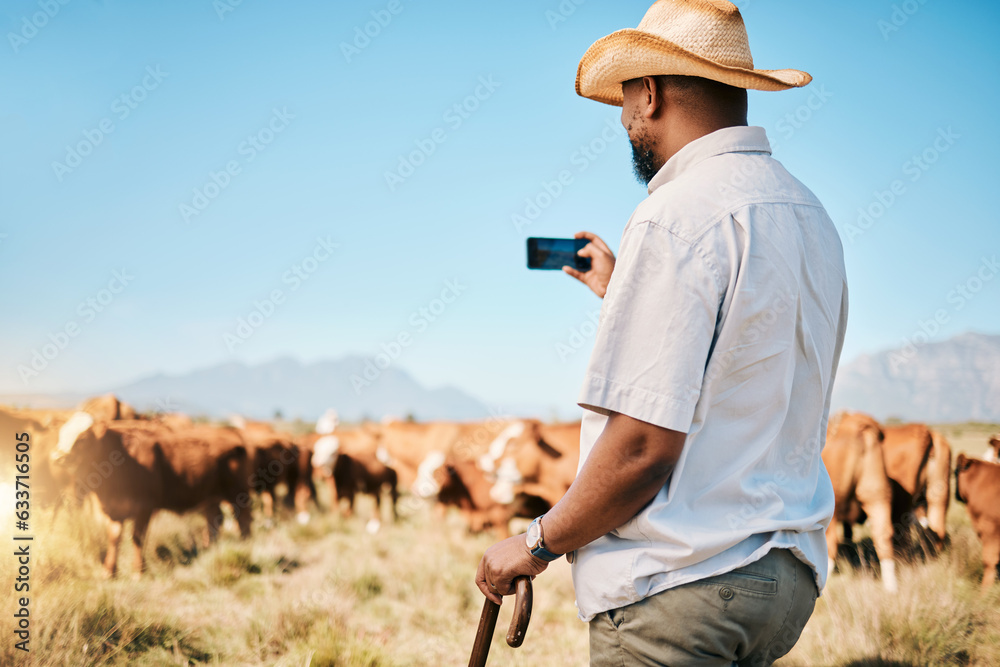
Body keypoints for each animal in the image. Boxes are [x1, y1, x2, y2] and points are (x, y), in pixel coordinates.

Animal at [50, 412, 254, 580]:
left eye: (82, 438)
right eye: (61, 434)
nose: (57, 457)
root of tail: (230, 433)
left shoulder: (144, 508)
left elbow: (137, 538)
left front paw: (138, 571)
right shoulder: (114, 509)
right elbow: (114, 538)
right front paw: (109, 572)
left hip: (237, 493)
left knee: (243, 519)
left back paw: (245, 546)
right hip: (210, 498)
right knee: (214, 521)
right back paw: (210, 550)